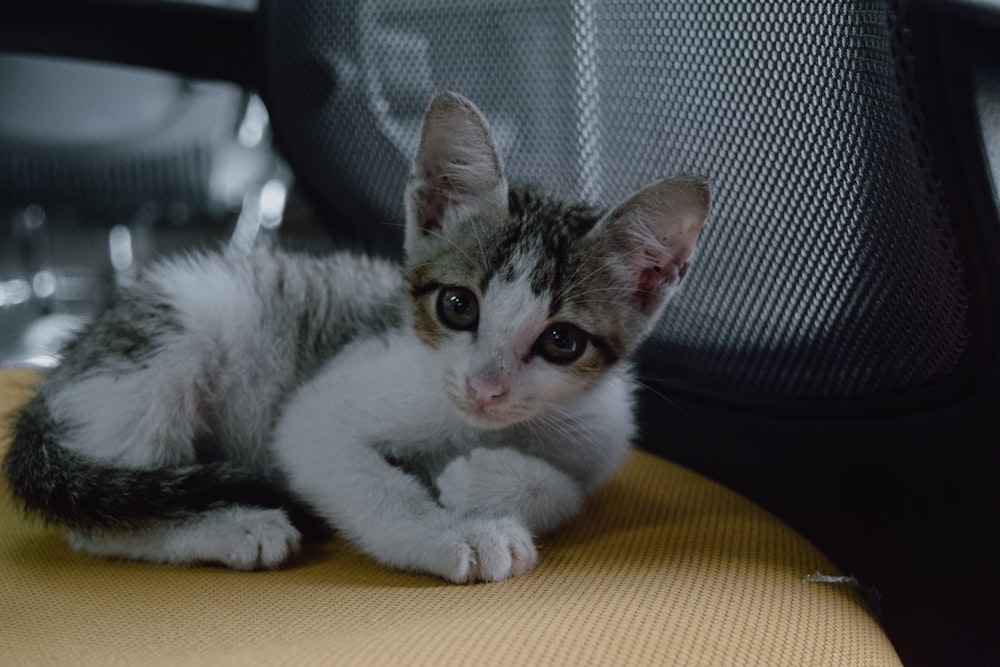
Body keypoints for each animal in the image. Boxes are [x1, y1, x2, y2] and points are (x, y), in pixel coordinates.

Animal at [0, 91, 712, 580]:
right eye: (458, 305)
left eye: (562, 342)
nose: (484, 388)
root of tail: (55, 376)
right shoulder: (323, 406)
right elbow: (365, 478)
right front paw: (453, 532)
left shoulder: (599, 437)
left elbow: (570, 492)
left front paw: (480, 481)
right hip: (180, 333)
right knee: (98, 523)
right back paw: (234, 528)